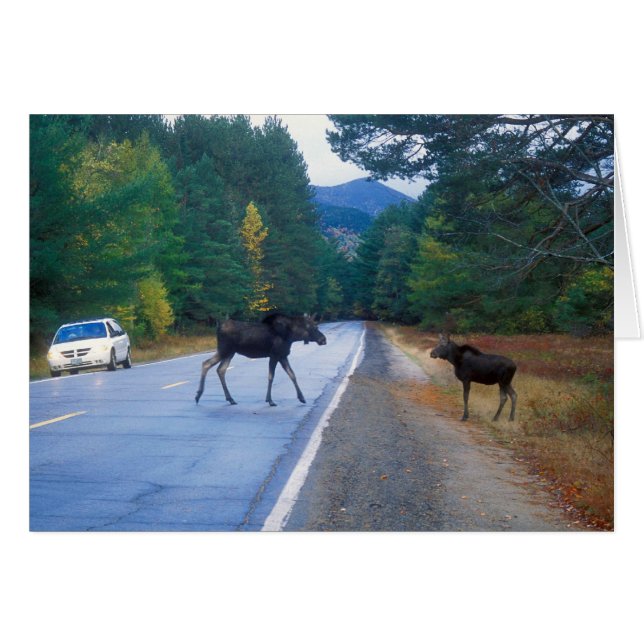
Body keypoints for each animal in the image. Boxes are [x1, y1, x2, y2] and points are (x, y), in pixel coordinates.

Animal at [195, 313, 327, 407]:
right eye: (315, 327)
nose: (323, 339)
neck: (292, 336)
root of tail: (218, 326)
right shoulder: (274, 355)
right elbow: (271, 376)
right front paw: (270, 400)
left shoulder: (282, 356)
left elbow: (292, 374)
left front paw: (302, 398)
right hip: (224, 350)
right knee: (206, 363)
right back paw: (198, 395)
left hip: (230, 353)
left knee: (220, 369)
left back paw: (230, 399)